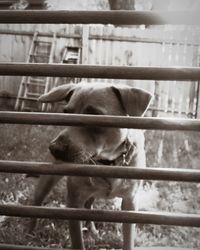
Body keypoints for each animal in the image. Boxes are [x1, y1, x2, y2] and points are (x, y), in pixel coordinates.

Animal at [32, 81, 152, 249]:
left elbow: (128, 239)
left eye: (95, 115)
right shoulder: (74, 203)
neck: (108, 162)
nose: (55, 148)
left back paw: (93, 231)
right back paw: (29, 233)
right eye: (66, 113)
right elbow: (77, 241)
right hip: (47, 181)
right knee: (36, 202)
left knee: (89, 206)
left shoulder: (130, 203)